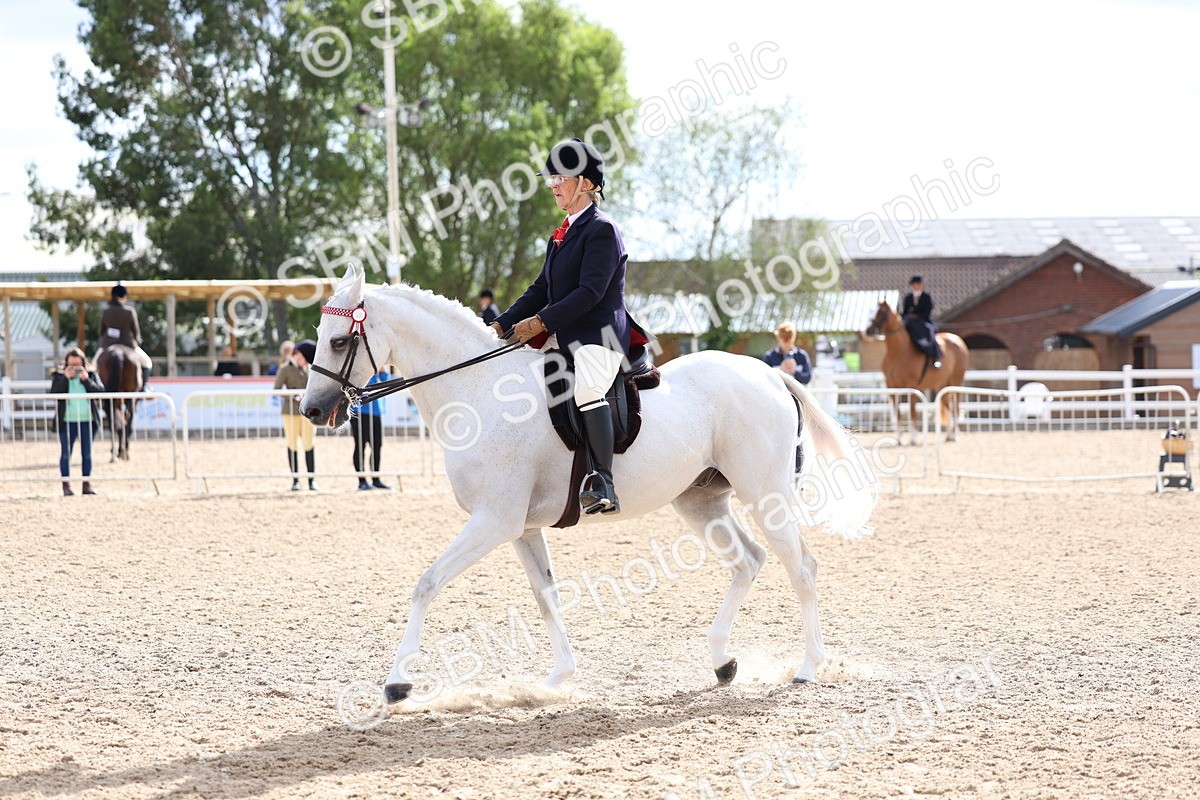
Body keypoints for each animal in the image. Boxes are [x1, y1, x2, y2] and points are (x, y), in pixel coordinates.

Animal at [300, 264, 878, 707]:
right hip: (701, 500)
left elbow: (426, 583)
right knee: (748, 561)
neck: (479, 389)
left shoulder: (493, 521)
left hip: (765, 494)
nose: (310, 410)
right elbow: (545, 595)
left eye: (339, 340)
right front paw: (559, 676)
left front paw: (398, 683)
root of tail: (766, 373)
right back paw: (723, 662)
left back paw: (807, 667)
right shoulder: (520, 528)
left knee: (801, 567)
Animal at [865, 301, 968, 442]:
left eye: (883, 312)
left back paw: (954, 435)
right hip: (941, 385)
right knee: (949, 406)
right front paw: (899, 438)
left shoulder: (911, 386)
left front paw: (913, 438)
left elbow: (912, 410)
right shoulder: (891, 386)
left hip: (955, 382)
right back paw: (949, 435)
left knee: (956, 408)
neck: (897, 351)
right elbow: (897, 412)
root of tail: (958, 340)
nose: (868, 330)